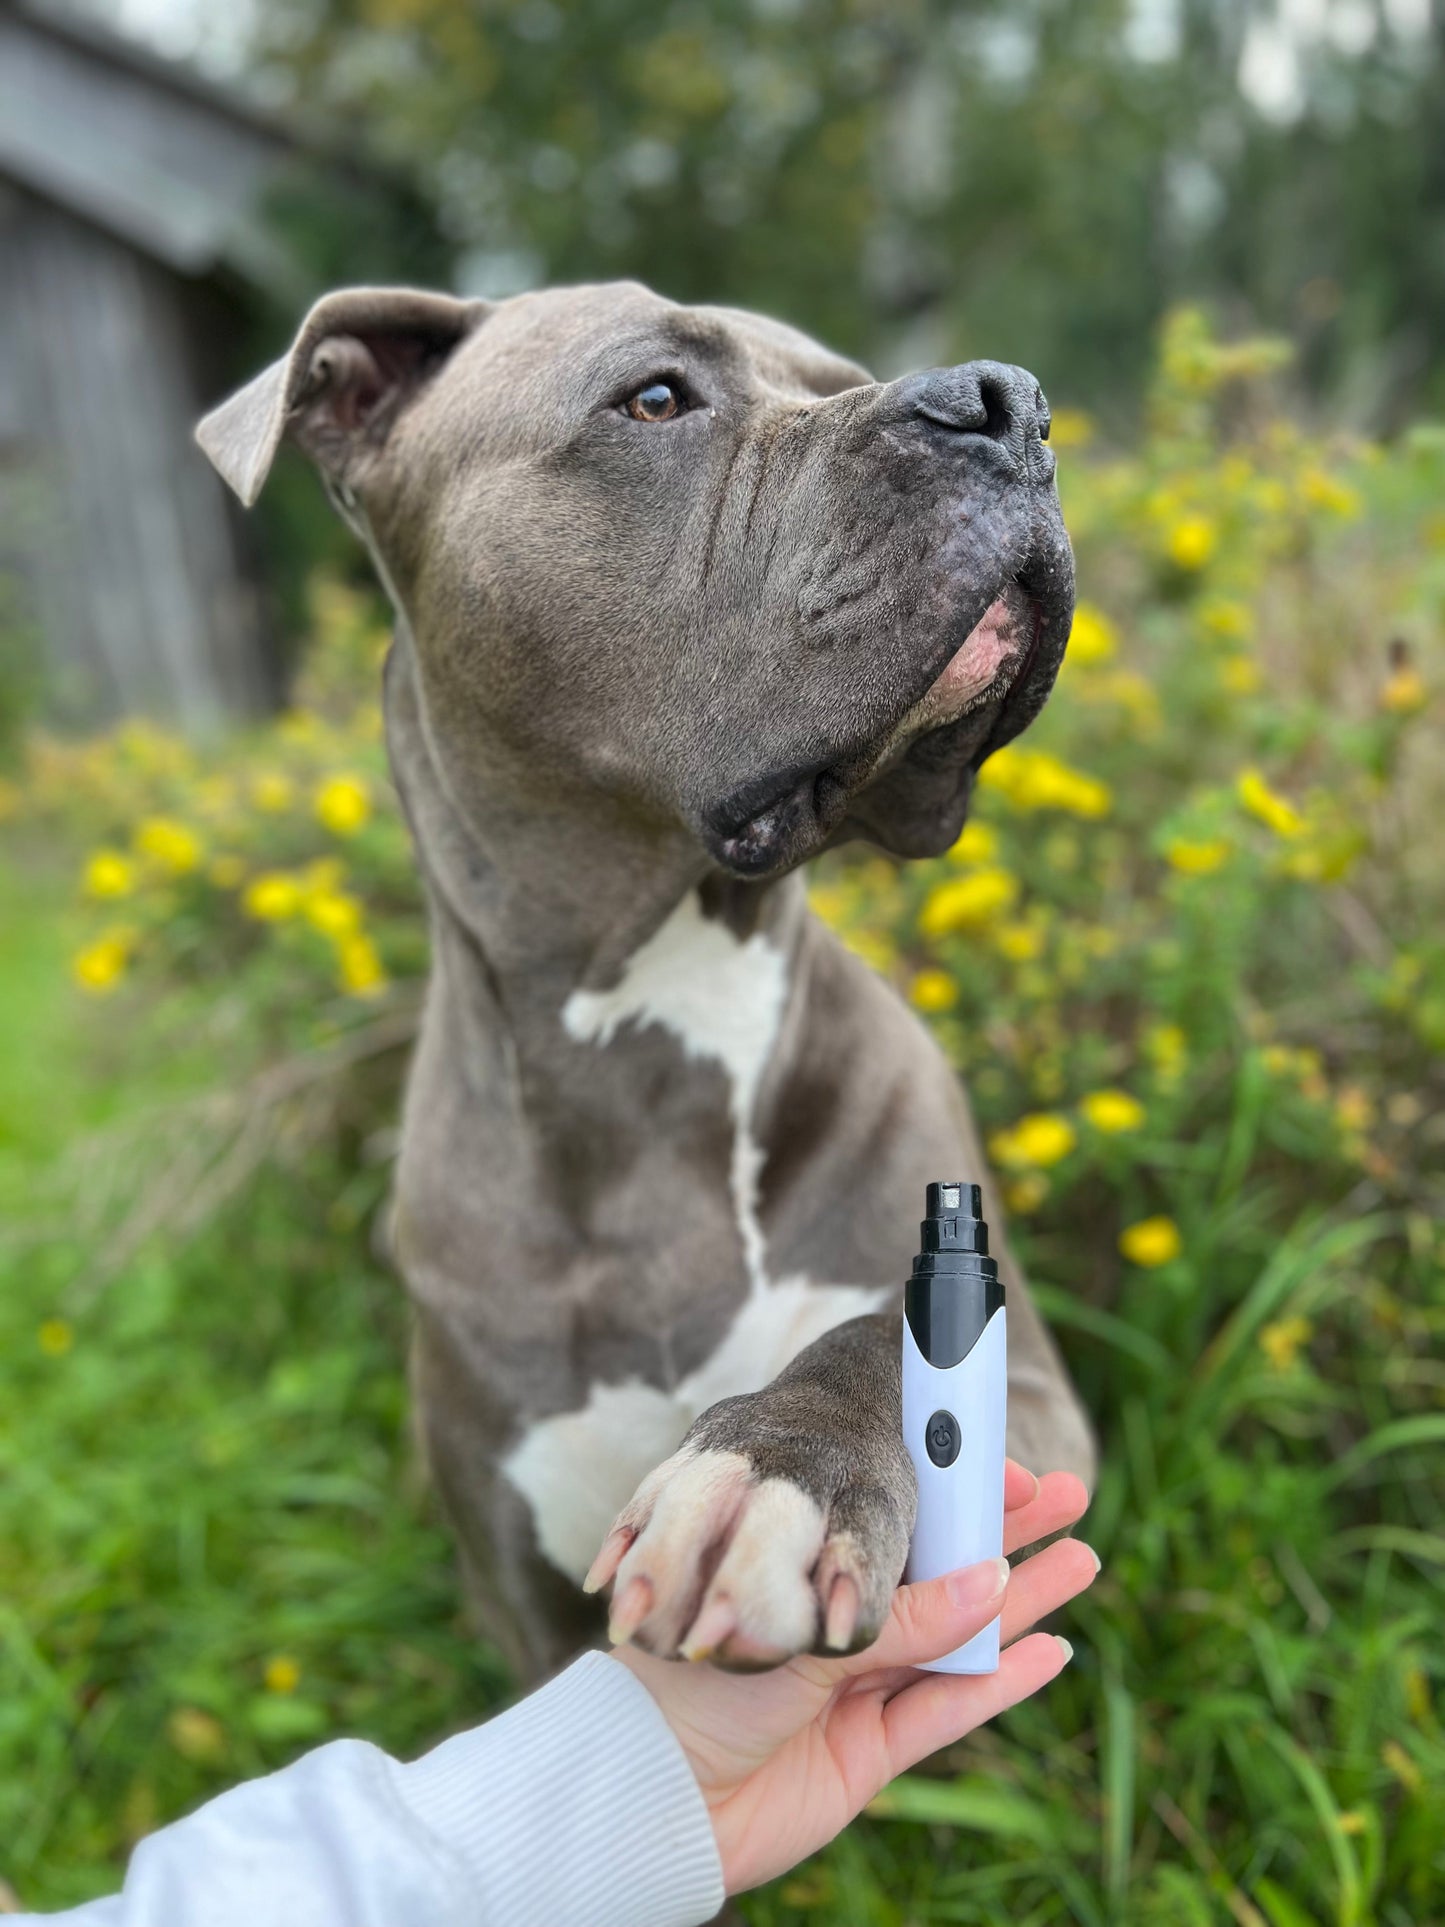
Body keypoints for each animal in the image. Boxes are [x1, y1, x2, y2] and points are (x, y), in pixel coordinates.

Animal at [195, 279, 1094, 1680]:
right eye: (656, 397)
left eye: (838, 375)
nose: (1006, 400)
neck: (660, 1012)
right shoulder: (518, 1587)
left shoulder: (1042, 1409)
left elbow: (877, 1345)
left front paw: (771, 1467)